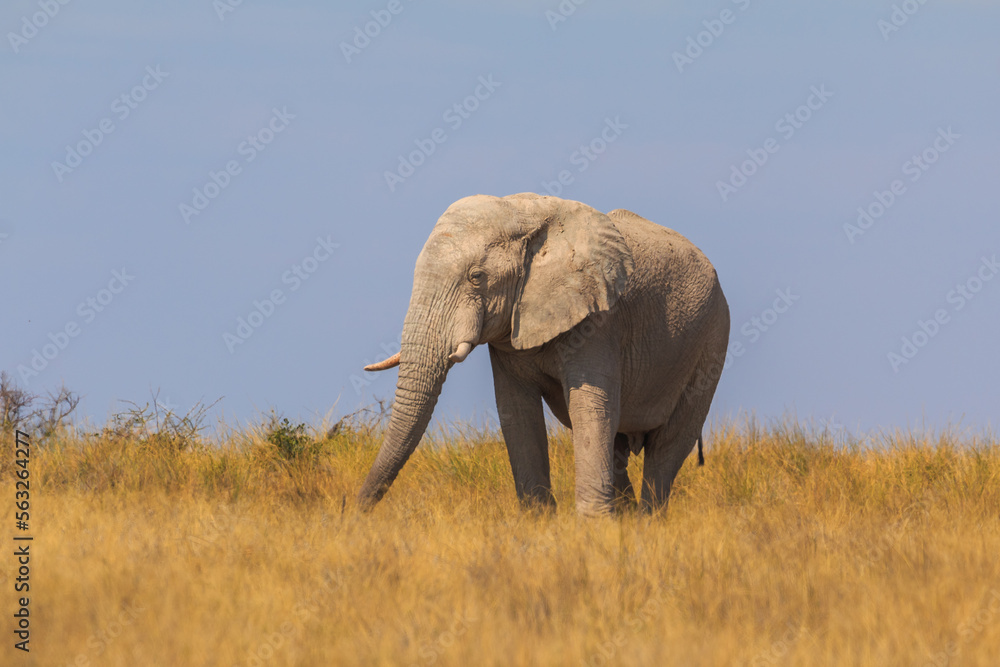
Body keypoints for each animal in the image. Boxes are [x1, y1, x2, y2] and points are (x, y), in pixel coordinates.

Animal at [358, 193, 728, 516]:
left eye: (476, 277)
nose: (355, 512)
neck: (523, 213)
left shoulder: (600, 319)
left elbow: (591, 406)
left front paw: (592, 527)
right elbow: (517, 411)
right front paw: (540, 521)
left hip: (710, 341)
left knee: (668, 447)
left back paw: (647, 522)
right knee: (619, 448)